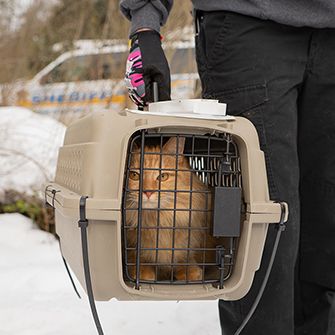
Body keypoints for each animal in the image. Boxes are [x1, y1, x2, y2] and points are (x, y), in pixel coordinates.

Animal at [124, 135, 217, 282]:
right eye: (134, 176)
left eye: (163, 177)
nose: (148, 192)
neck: (159, 221)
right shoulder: (131, 245)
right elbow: (137, 258)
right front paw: (143, 273)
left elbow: (184, 257)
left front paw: (190, 272)